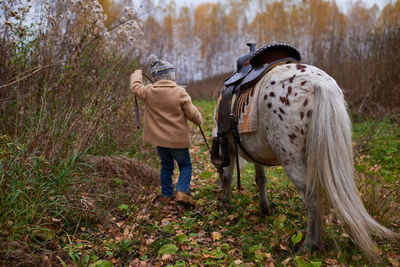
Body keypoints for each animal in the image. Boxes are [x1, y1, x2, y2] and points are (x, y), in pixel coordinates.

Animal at [211, 61, 398, 260]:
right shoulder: (256, 152)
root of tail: (319, 84)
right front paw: (264, 209)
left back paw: (310, 245)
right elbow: (260, 179)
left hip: (292, 161)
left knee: (312, 197)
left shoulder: (228, 146)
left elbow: (228, 176)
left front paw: (225, 203)